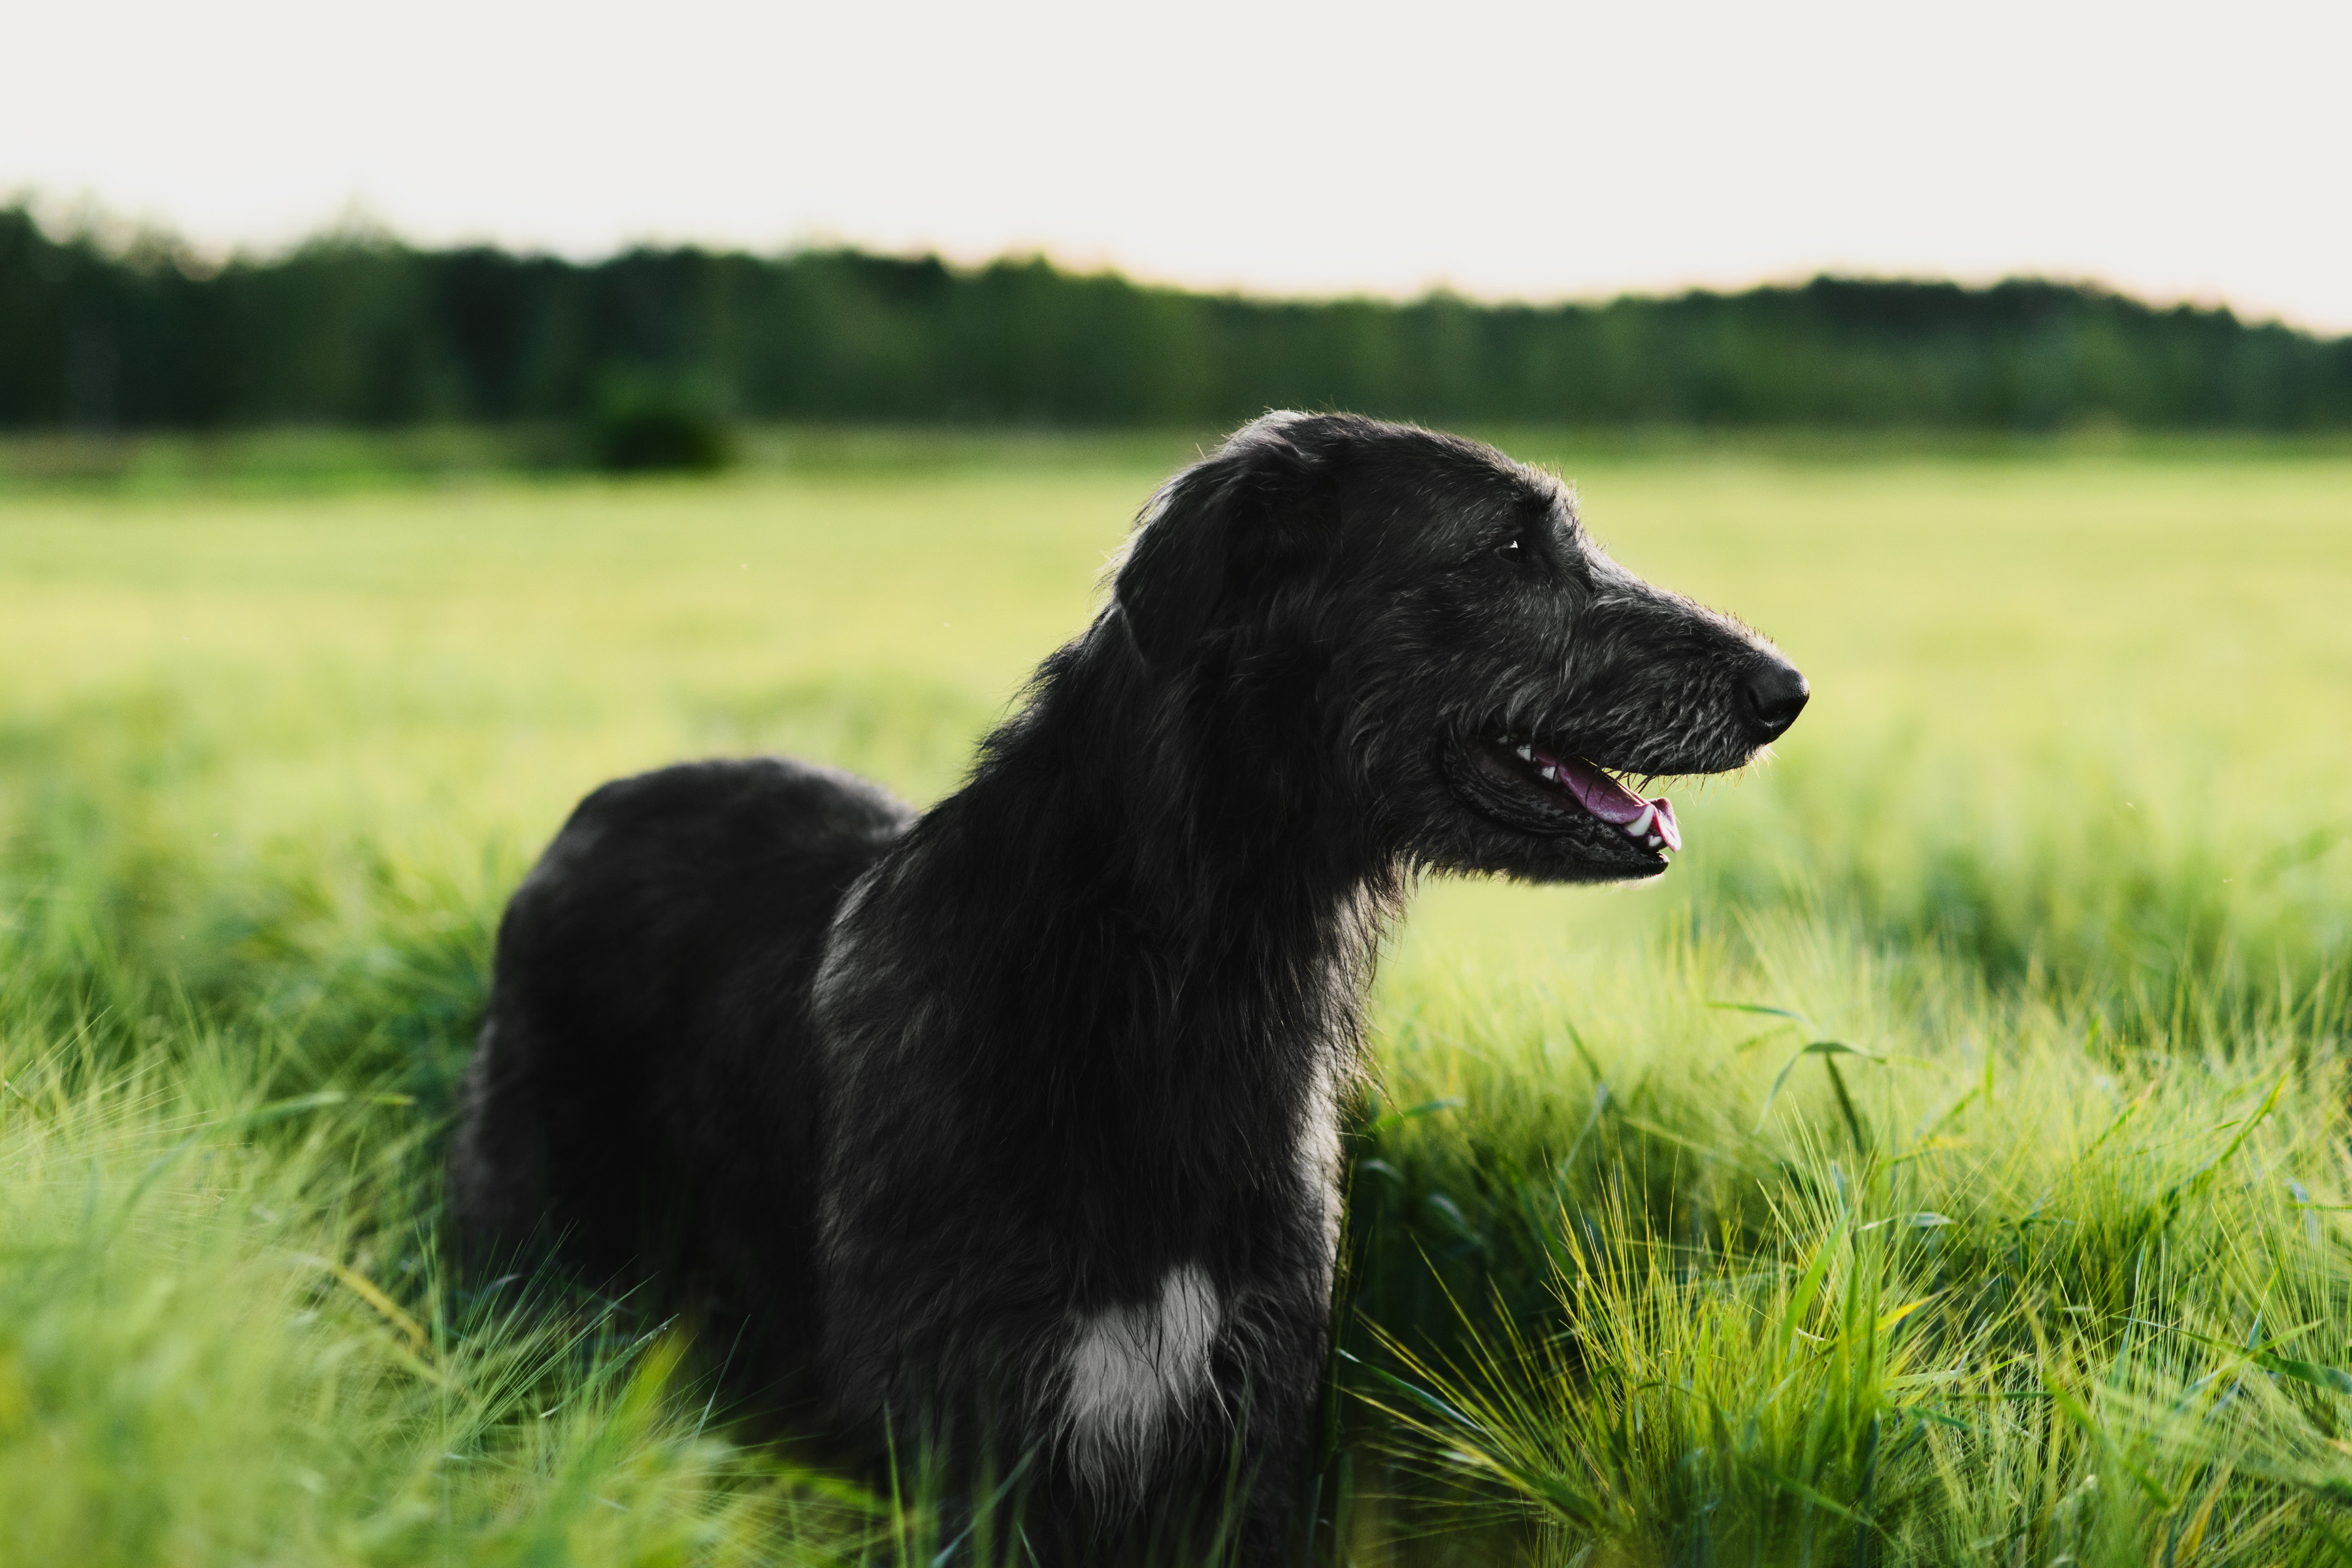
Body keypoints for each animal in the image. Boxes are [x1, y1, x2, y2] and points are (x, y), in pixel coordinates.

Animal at [449, 411, 1806, 1561]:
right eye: (1516, 546)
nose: (1785, 691)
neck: (1155, 973)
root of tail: (590, 812)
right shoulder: (969, 1437)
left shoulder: (1250, 1423)